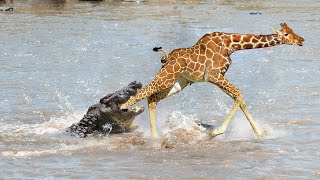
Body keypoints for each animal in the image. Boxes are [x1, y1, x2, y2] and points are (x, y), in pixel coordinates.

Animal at [120, 23, 302, 139]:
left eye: (292, 30)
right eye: (286, 34)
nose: (301, 40)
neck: (232, 45)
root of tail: (167, 57)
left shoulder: (217, 77)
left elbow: (239, 98)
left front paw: (260, 134)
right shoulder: (215, 76)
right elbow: (239, 93)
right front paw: (215, 132)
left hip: (177, 82)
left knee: (152, 99)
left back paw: (154, 138)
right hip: (167, 78)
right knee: (142, 94)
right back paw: (121, 110)